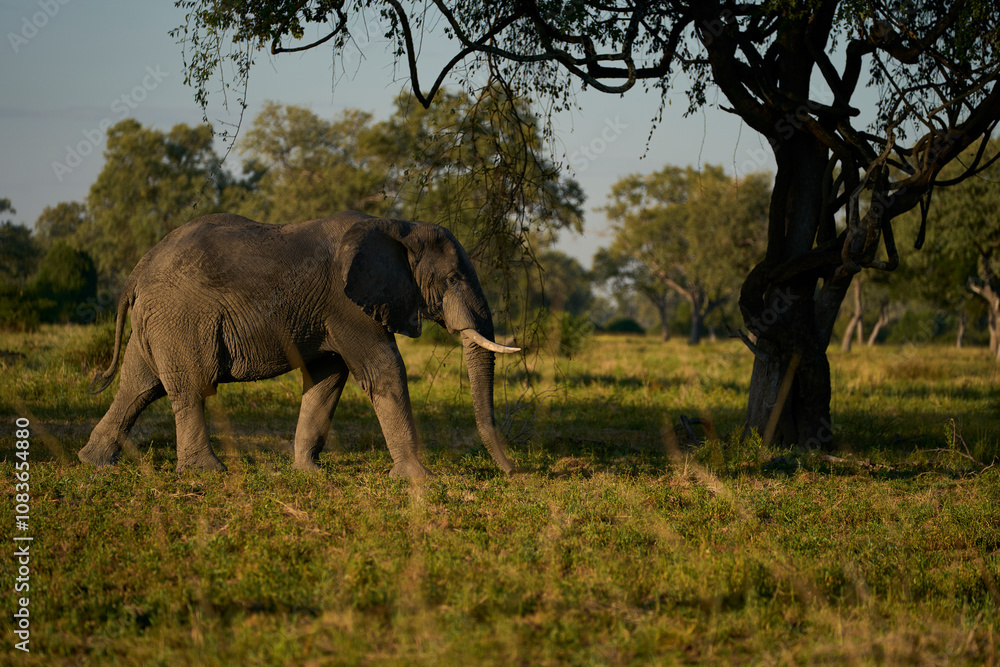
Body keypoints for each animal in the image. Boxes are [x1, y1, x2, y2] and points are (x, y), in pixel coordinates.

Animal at [79, 210, 522, 476]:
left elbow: (327, 379)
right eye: (453, 279)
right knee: (189, 388)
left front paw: (309, 472)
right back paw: (207, 473)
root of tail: (139, 268)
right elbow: (383, 369)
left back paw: (94, 462)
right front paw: (419, 478)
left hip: (157, 320)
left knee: (139, 386)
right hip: (181, 318)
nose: (513, 471)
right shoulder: (347, 304)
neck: (398, 225)